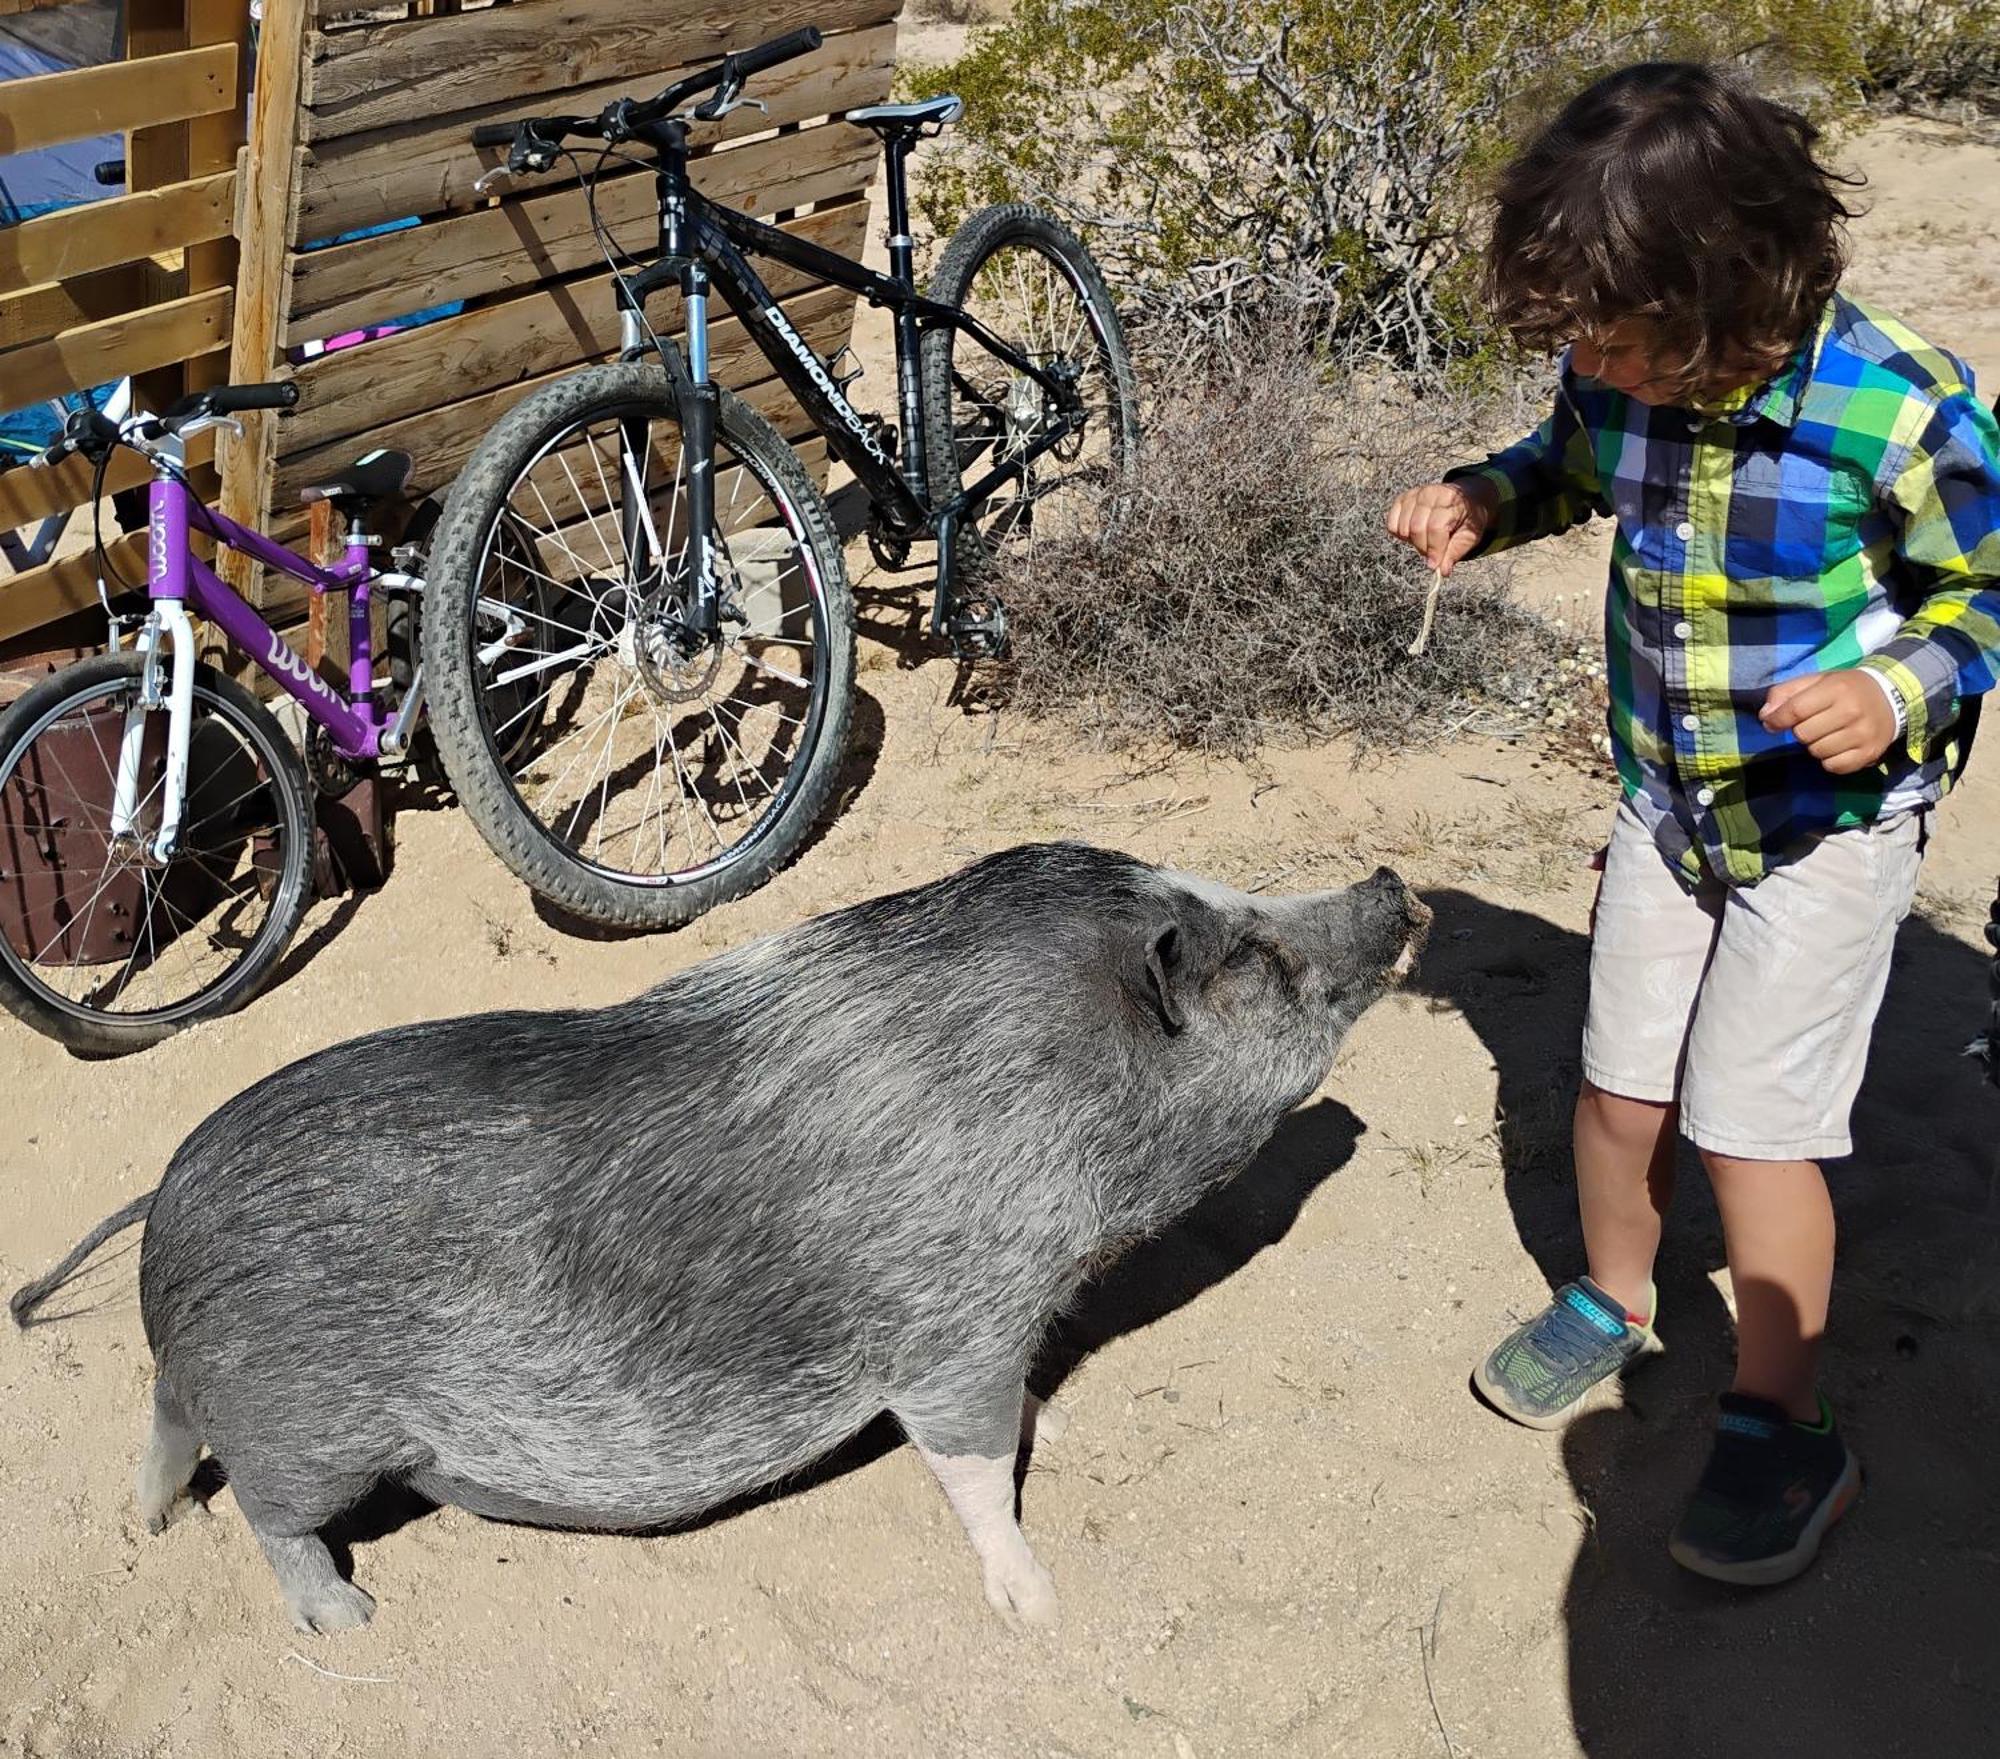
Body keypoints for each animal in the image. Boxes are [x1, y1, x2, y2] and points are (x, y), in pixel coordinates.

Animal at [11, 843, 1424, 1639]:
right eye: (1251, 957)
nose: (1392, 884)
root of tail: (170, 1209)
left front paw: (1060, 1423)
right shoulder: (947, 1325)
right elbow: (970, 1466)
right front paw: (1040, 1611)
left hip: (210, 1383)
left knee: (164, 1429)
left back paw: (149, 1528)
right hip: (306, 1431)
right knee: (267, 1514)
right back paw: (349, 1624)